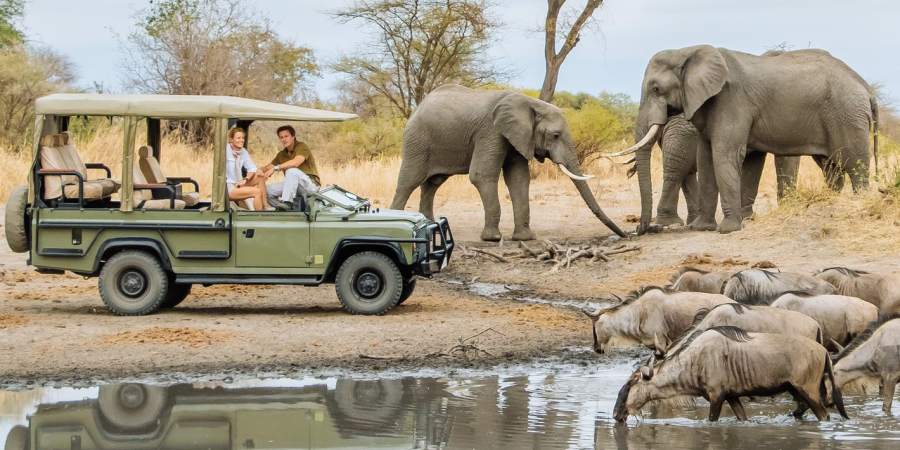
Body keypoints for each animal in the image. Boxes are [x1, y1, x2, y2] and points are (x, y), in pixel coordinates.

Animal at [389, 85, 625, 241]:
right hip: (417, 140)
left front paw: (525, 238)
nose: (624, 235)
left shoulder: (518, 136)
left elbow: (518, 178)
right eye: (556, 135)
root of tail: (418, 107)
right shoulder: (491, 131)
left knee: (432, 183)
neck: (530, 103)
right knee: (409, 181)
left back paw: (429, 228)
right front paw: (493, 239)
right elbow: (481, 175)